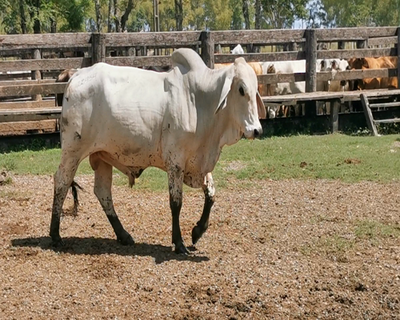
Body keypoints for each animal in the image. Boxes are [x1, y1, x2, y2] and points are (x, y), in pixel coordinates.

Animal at [50, 48, 266, 255]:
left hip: (102, 156)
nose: (257, 130)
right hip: (73, 151)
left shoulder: (199, 161)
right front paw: (179, 243)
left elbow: (211, 193)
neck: (201, 102)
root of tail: (76, 75)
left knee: (103, 192)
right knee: (62, 182)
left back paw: (123, 235)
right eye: (241, 89)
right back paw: (55, 235)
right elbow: (176, 202)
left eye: (255, 89)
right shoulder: (176, 161)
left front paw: (197, 231)